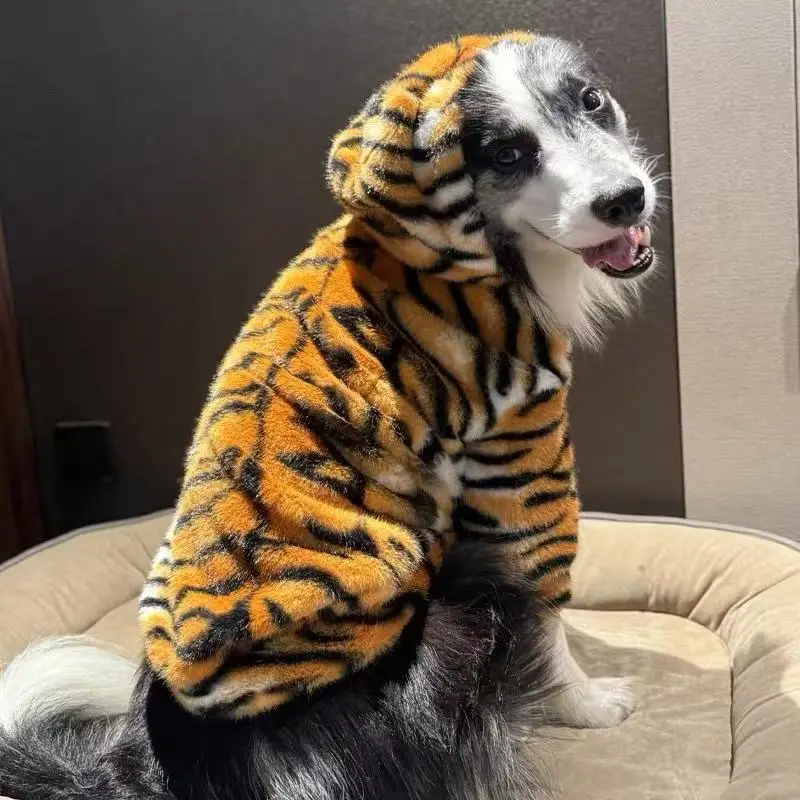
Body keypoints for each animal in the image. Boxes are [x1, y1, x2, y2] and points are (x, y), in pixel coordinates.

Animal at [0, 31, 657, 800]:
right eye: (504, 154)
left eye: (591, 99)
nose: (627, 200)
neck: (479, 264)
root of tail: (148, 765)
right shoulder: (521, 453)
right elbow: (547, 602)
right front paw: (587, 704)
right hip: (447, 605)